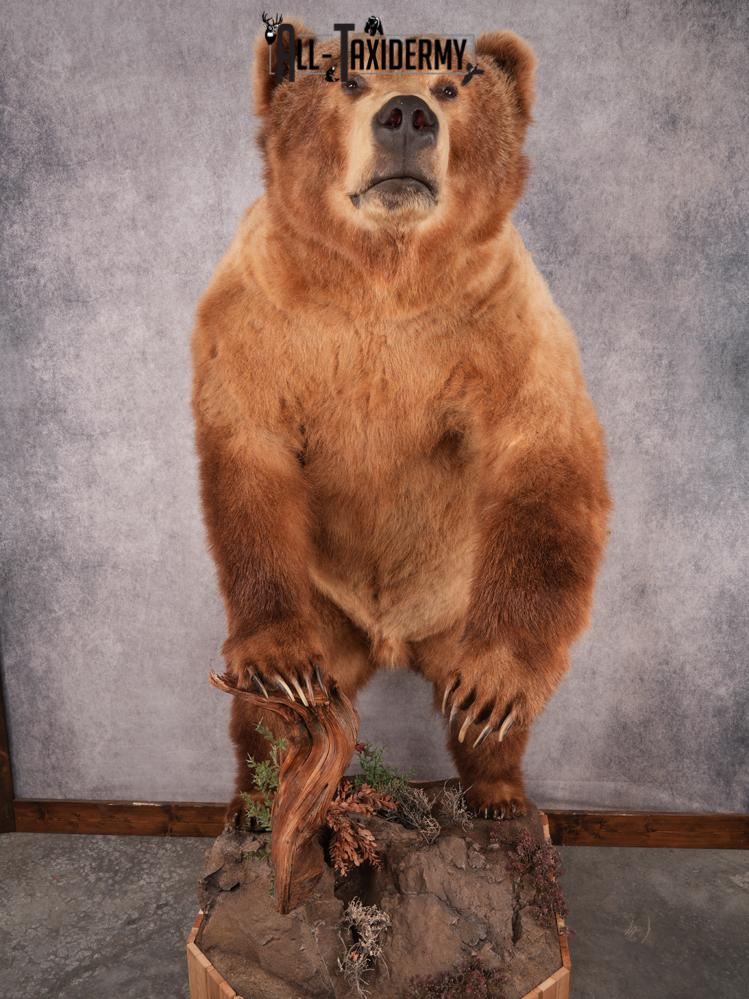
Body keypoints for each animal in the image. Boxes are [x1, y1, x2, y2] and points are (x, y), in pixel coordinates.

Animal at [191, 21, 611, 821]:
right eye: (347, 78)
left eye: (450, 85)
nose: (408, 116)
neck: (381, 279)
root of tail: (388, 644)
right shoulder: (262, 314)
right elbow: (250, 452)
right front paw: (276, 656)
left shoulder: (500, 318)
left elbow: (540, 451)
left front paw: (495, 689)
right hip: (327, 610)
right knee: (265, 717)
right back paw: (255, 796)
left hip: (462, 607)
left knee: (488, 719)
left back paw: (500, 789)